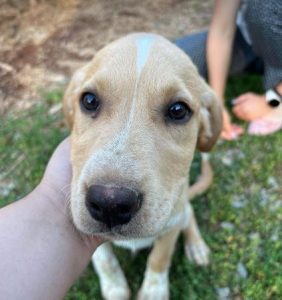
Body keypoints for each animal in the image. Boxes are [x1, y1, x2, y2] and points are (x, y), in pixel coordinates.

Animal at [62, 33, 221, 300]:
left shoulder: (172, 220)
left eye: (178, 110)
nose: (110, 203)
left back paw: (196, 246)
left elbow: (160, 257)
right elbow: (104, 258)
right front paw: (115, 288)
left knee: (189, 215)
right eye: (89, 100)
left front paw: (153, 291)